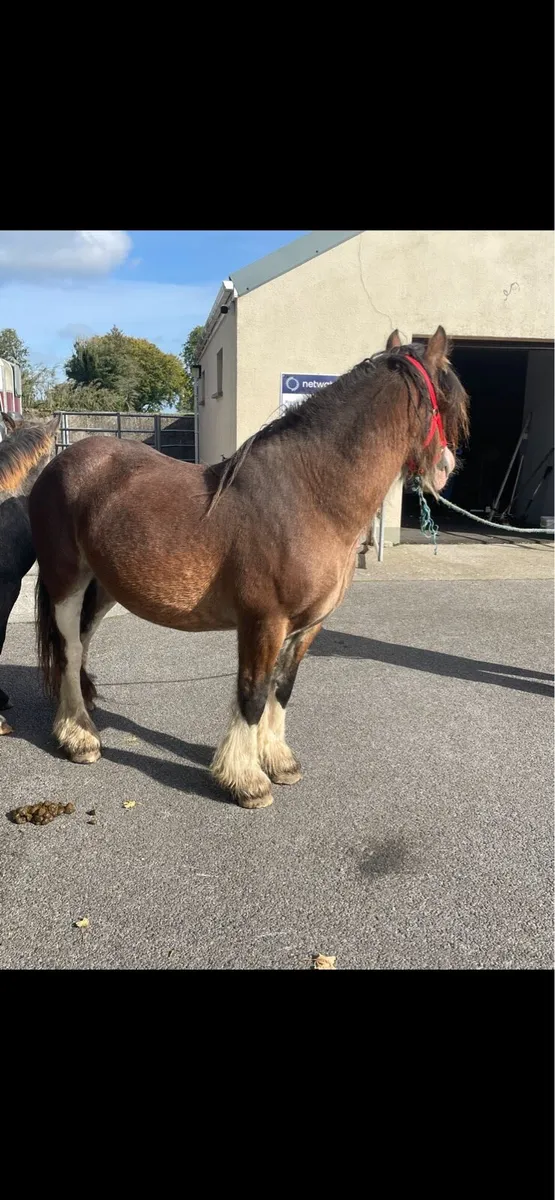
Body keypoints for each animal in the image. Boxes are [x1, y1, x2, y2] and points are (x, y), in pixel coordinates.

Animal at [29, 327, 469, 808]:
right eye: (448, 402)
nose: (446, 469)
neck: (310, 496)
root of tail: (59, 463)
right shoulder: (263, 621)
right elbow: (254, 693)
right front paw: (246, 779)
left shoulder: (306, 626)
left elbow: (282, 688)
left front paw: (279, 761)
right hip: (67, 583)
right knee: (69, 649)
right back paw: (79, 737)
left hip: (103, 586)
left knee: (83, 642)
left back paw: (85, 709)